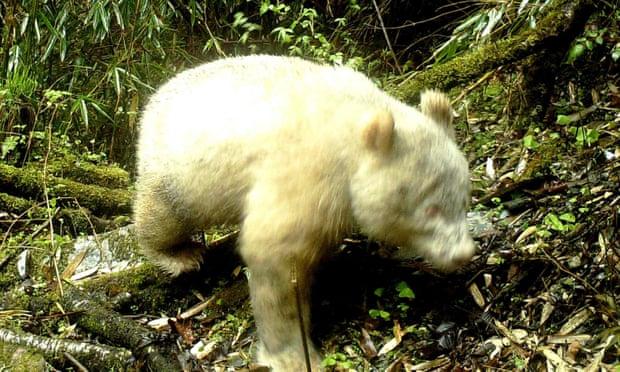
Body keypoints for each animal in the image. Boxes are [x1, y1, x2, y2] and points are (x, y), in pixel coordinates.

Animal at [134, 55, 474, 372]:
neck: (352, 128)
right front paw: (292, 354)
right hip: (178, 171)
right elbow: (275, 255)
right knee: (163, 215)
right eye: (430, 208)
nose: (463, 253)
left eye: (464, 199)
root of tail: (153, 100)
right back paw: (179, 255)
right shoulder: (307, 173)